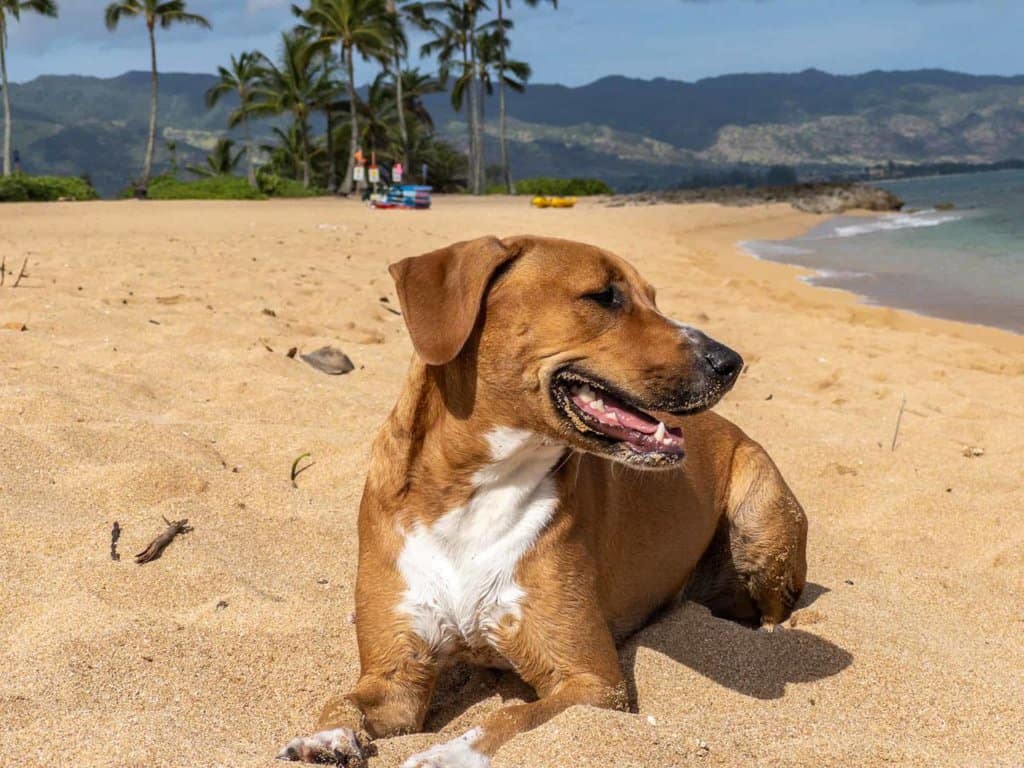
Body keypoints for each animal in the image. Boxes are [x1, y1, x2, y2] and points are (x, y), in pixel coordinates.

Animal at [280, 237, 806, 765]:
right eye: (604, 296)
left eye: (653, 299)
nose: (730, 362)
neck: (474, 488)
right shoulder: (395, 678)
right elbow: (341, 700)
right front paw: (326, 738)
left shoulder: (592, 680)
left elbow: (510, 717)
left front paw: (444, 755)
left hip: (760, 522)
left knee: (773, 609)